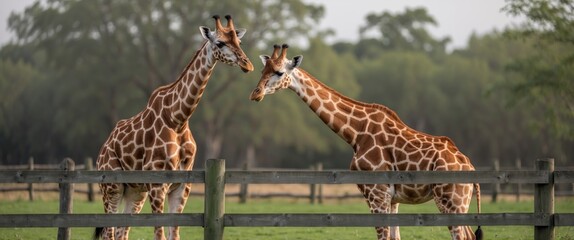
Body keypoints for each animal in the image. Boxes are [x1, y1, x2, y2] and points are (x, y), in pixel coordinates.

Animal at [95, 15, 254, 240]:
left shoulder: (181, 186)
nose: (247, 64)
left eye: (239, 42)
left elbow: (174, 234)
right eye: (220, 43)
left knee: (120, 232)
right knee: (108, 232)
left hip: (135, 192)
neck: (178, 119)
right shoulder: (157, 185)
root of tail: (104, 147)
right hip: (111, 187)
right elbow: (160, 234)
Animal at [250, 44, 484, 240]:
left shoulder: (376, 194)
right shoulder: (392, 199)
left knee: (462, 236)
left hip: (450, 201)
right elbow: (394, 237)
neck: (356, 133)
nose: (255, 94)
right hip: (457, 203)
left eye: (279, 72)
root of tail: (470, 167)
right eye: (262, 71)